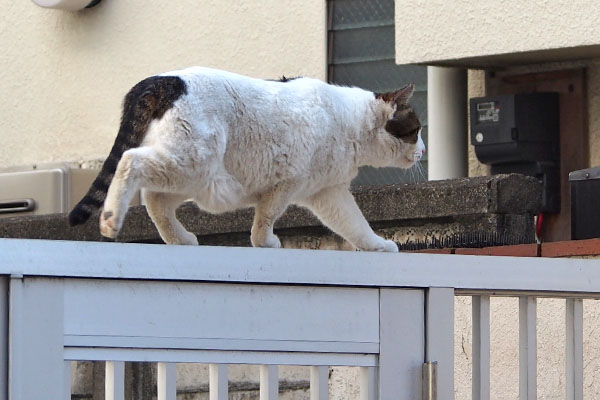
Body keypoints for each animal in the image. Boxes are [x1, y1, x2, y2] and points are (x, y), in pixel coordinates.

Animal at [68, 67, 424, 252]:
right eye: (417, 130)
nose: (423, 150)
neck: (348, 121)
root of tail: (163, 80)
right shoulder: (287, 182)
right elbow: (266, 216)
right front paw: (264, 242)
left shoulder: (328, 192)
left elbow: (355, 224)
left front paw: (378, 244)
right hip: (190, 162)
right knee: (130, 163)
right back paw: (110, 220)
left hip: (196, 176)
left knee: (156, 202)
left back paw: (179, 239)